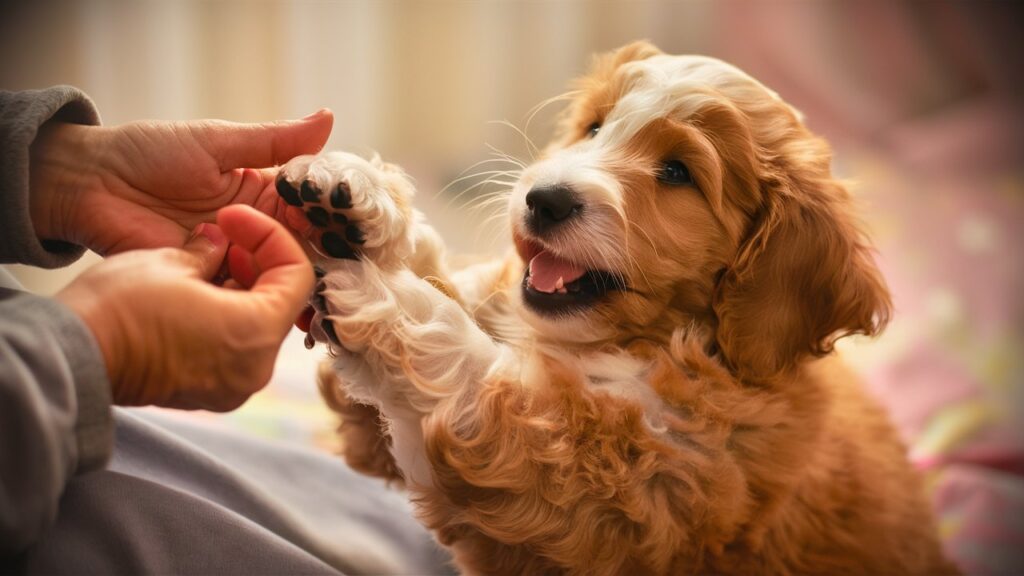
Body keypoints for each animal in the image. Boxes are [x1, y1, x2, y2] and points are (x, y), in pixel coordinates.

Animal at [276, 41, 954, 573]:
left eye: (677, 172)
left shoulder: (619, 491)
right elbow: (442, 300)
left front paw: (380, 291)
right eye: (596, 129)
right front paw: (355, 201)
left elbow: (481, 387)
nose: (544, 199)